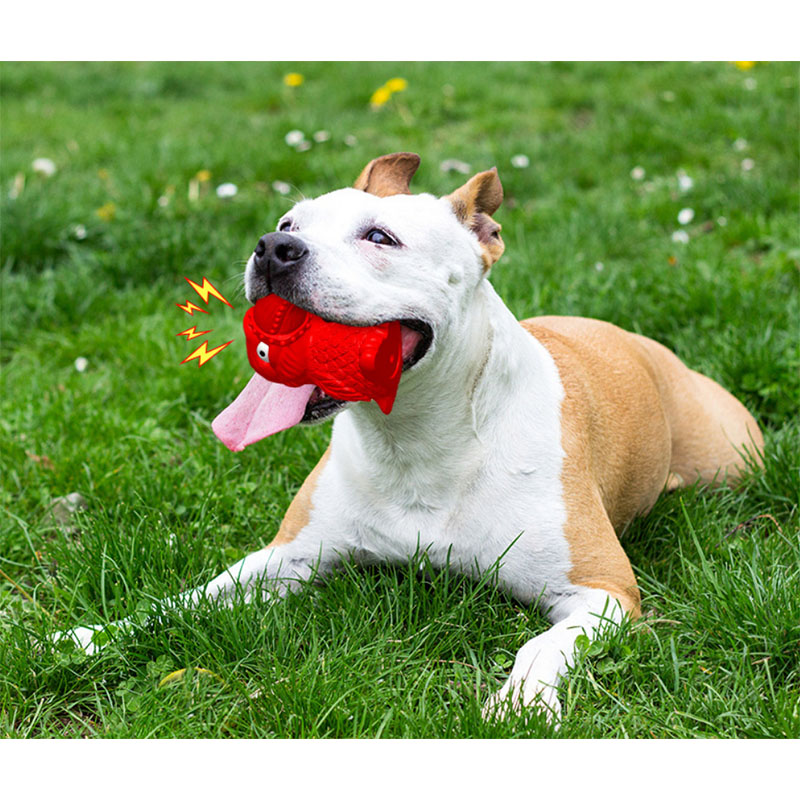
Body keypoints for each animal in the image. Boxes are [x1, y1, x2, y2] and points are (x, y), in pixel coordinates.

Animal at [64, 153, 764, 720]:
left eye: (380, 237)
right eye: (290, 222)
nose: (272, 247)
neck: (413, 439)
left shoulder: (602, 592)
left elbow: (541, 646)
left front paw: (520, 702)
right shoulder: (286, 559)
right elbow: (183, 599)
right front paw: (92, 635)